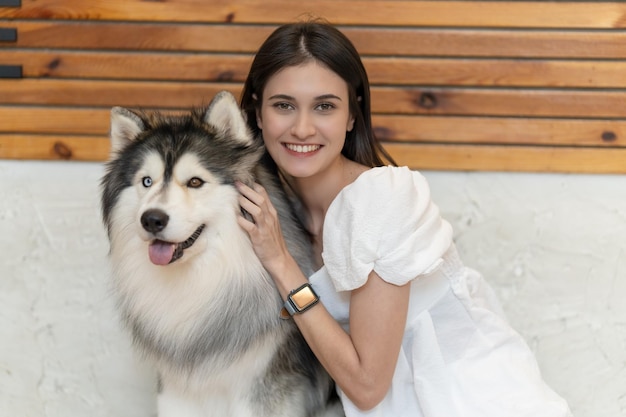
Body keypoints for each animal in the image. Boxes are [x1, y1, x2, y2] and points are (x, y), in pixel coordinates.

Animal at [99, 92, 342, 416]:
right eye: (146, 181)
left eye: (195, 182)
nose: (151, 219)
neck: (203, 277)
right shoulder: (176, 391)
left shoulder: (261, 392)